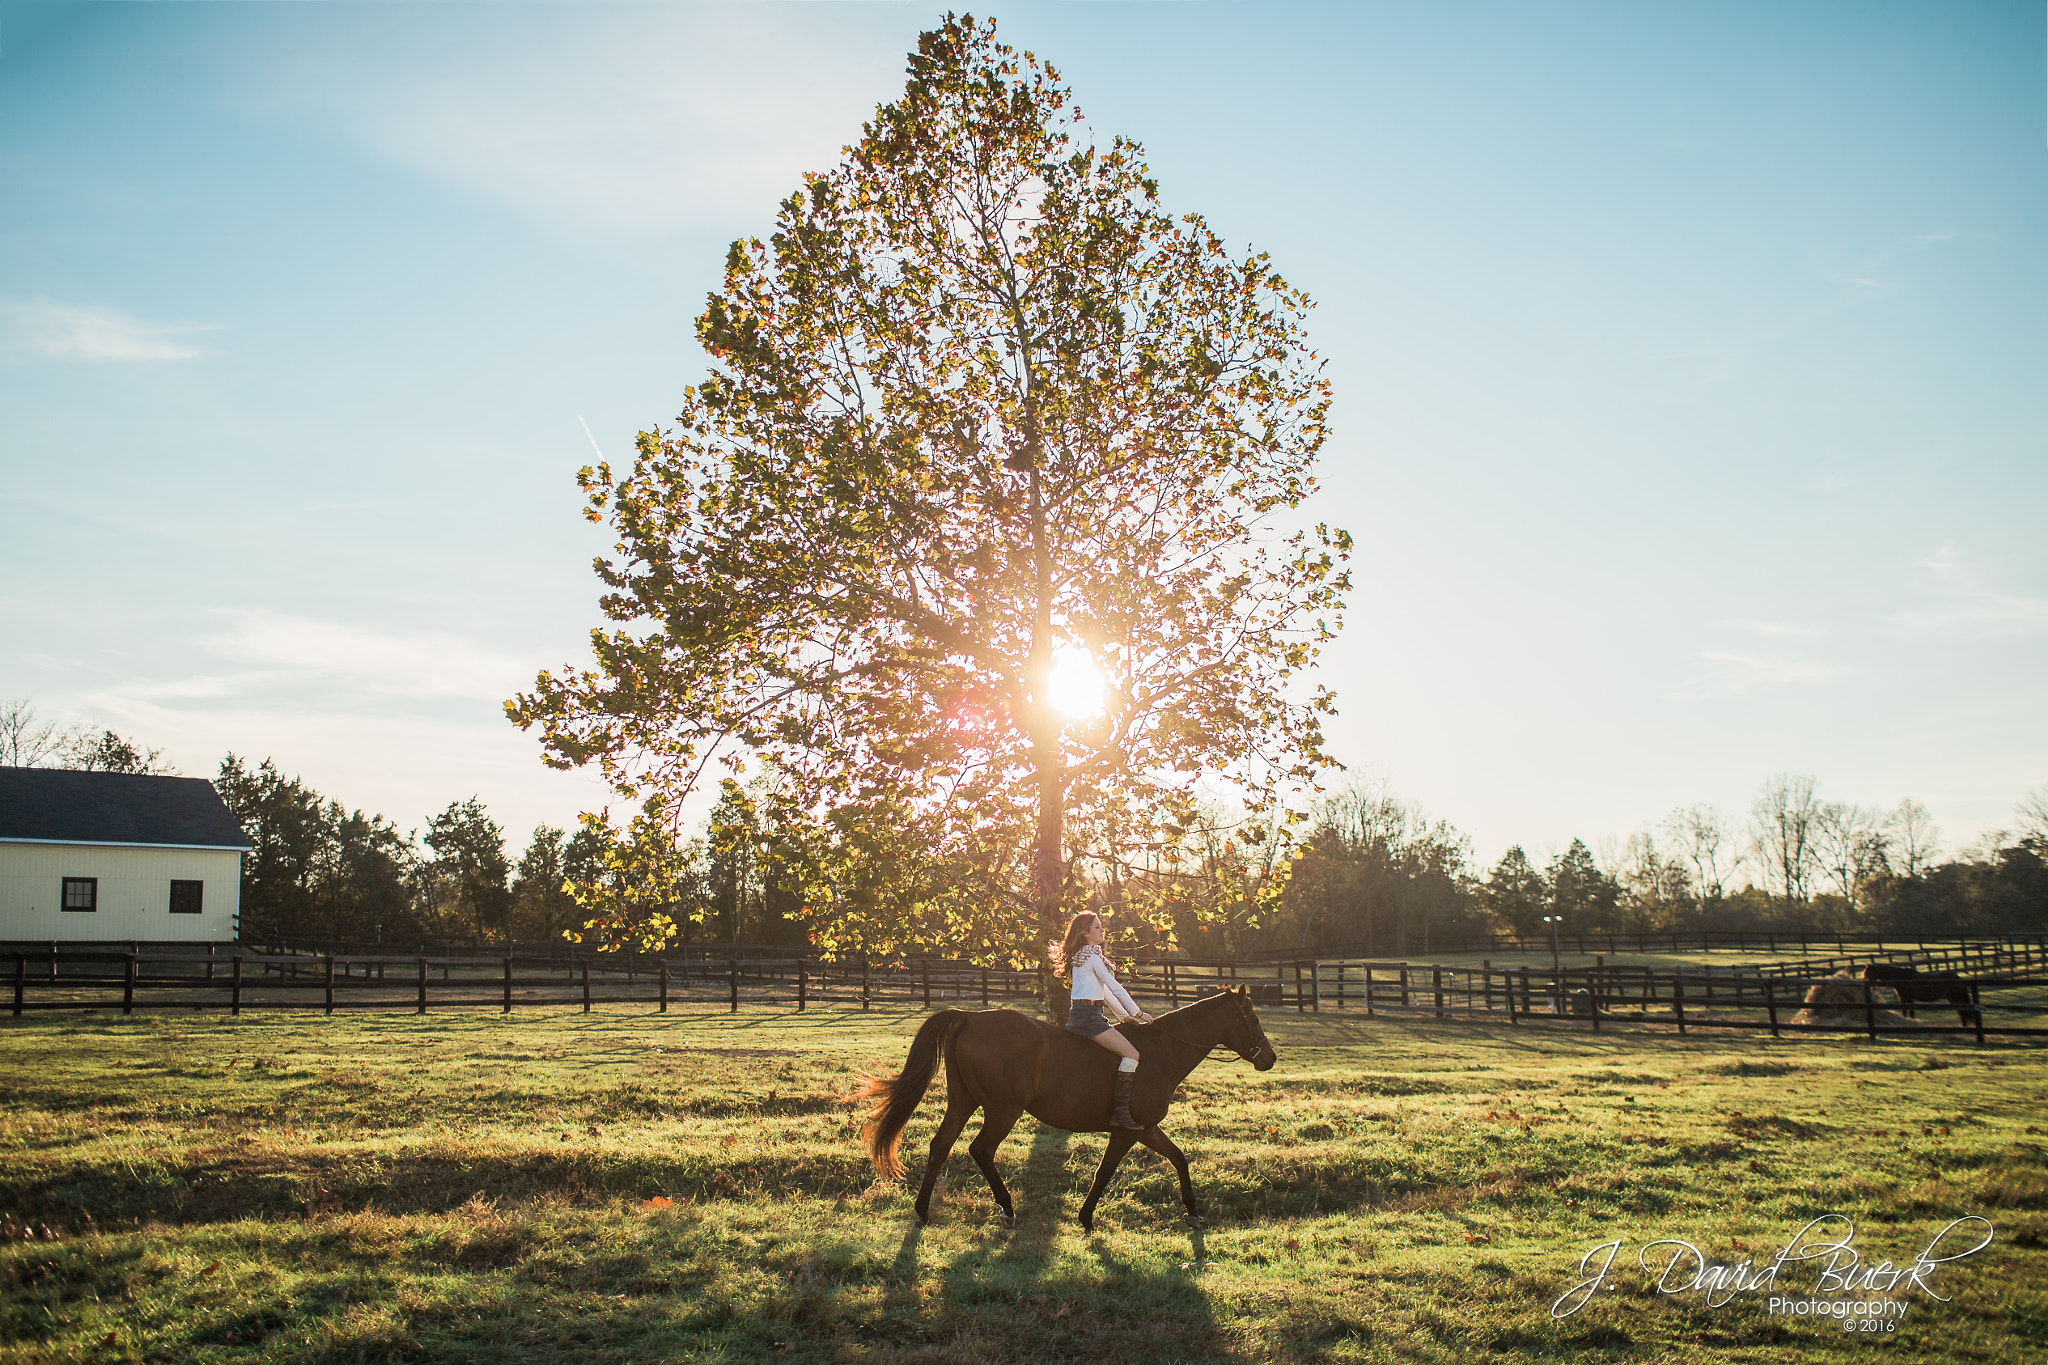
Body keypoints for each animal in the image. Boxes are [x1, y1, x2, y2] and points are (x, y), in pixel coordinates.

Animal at [851, 986, 1269, 1236]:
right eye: (1252, 1018)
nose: (1270, 1058)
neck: (1159, 1053)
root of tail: (971, 1016)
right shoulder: (1128, 1131)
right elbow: (1105, 1172)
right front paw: (1086, 1218)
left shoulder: (1147, 1129)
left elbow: (1179, 1158)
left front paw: (1193, 1211)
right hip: (1004, 1109)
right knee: (980, 1149)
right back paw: (1006, 1207)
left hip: (963, 1102)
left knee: (941, 1146)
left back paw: (923, 1210)